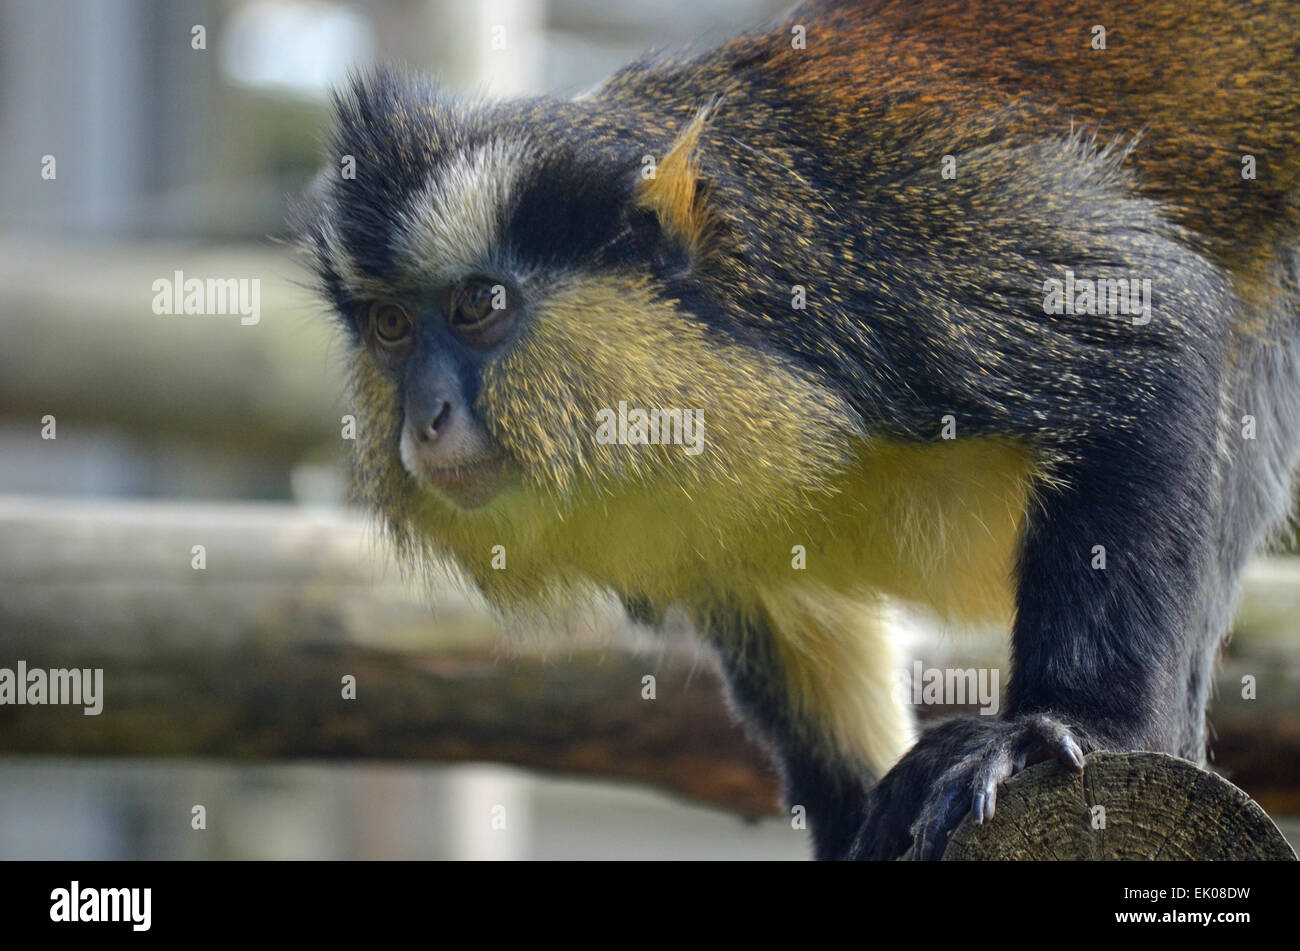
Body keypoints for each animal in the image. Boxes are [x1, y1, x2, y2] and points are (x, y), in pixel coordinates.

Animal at [295, 0, 1300, 862]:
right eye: (392, 327)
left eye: (478, 308)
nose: (426, 419)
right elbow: (800, 617)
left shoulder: (884, 266)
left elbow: (1148, 328)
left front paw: (1065, 726)